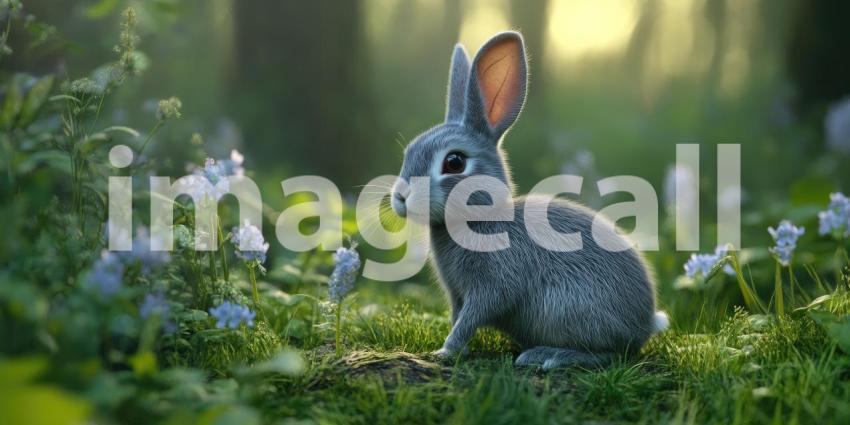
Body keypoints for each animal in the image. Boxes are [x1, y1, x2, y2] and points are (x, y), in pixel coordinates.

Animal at [390, 31, 668, 370]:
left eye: (454, 162)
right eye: (409, 151)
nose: (401, 197)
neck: (482, 216)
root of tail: (647, 322)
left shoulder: (493, 286)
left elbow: (471, 318)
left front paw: (445, 351)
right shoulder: (457, 294)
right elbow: (458, 317)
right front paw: (455, 351)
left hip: (570, 311)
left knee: (612, 354)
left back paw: (547, 355)